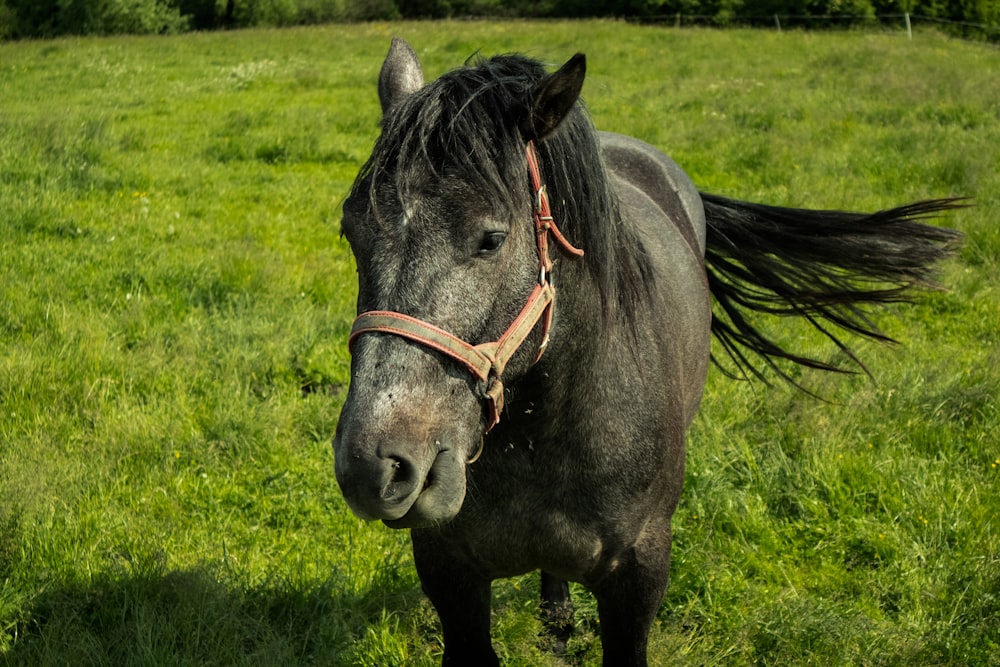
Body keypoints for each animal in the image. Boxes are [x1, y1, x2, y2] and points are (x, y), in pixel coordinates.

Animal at [332, 39, 964, 664]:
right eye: (350, 232)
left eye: (491, 239)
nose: (375, 465)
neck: (544, 436)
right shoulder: (450, 575)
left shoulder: (637, 579)